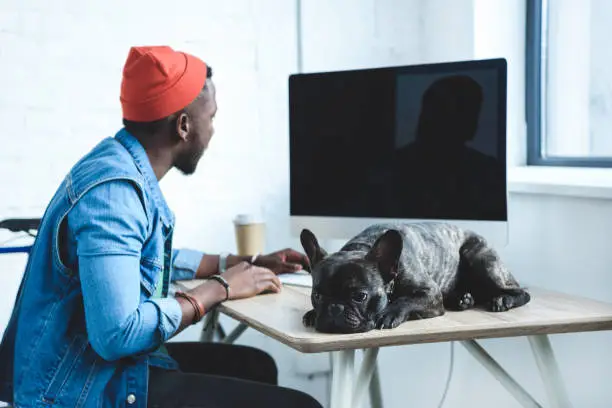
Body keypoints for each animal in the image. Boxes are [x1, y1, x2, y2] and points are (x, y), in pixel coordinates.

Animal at [302, 223, 532, 334]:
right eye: (317, 296)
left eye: (360, 296)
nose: (335, 308)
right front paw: (312, 313)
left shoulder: (430, 293)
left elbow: (406, 300)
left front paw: (388, 314)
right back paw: (462, 299)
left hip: (481, 259)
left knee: (520, 292)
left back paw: (503, 299)